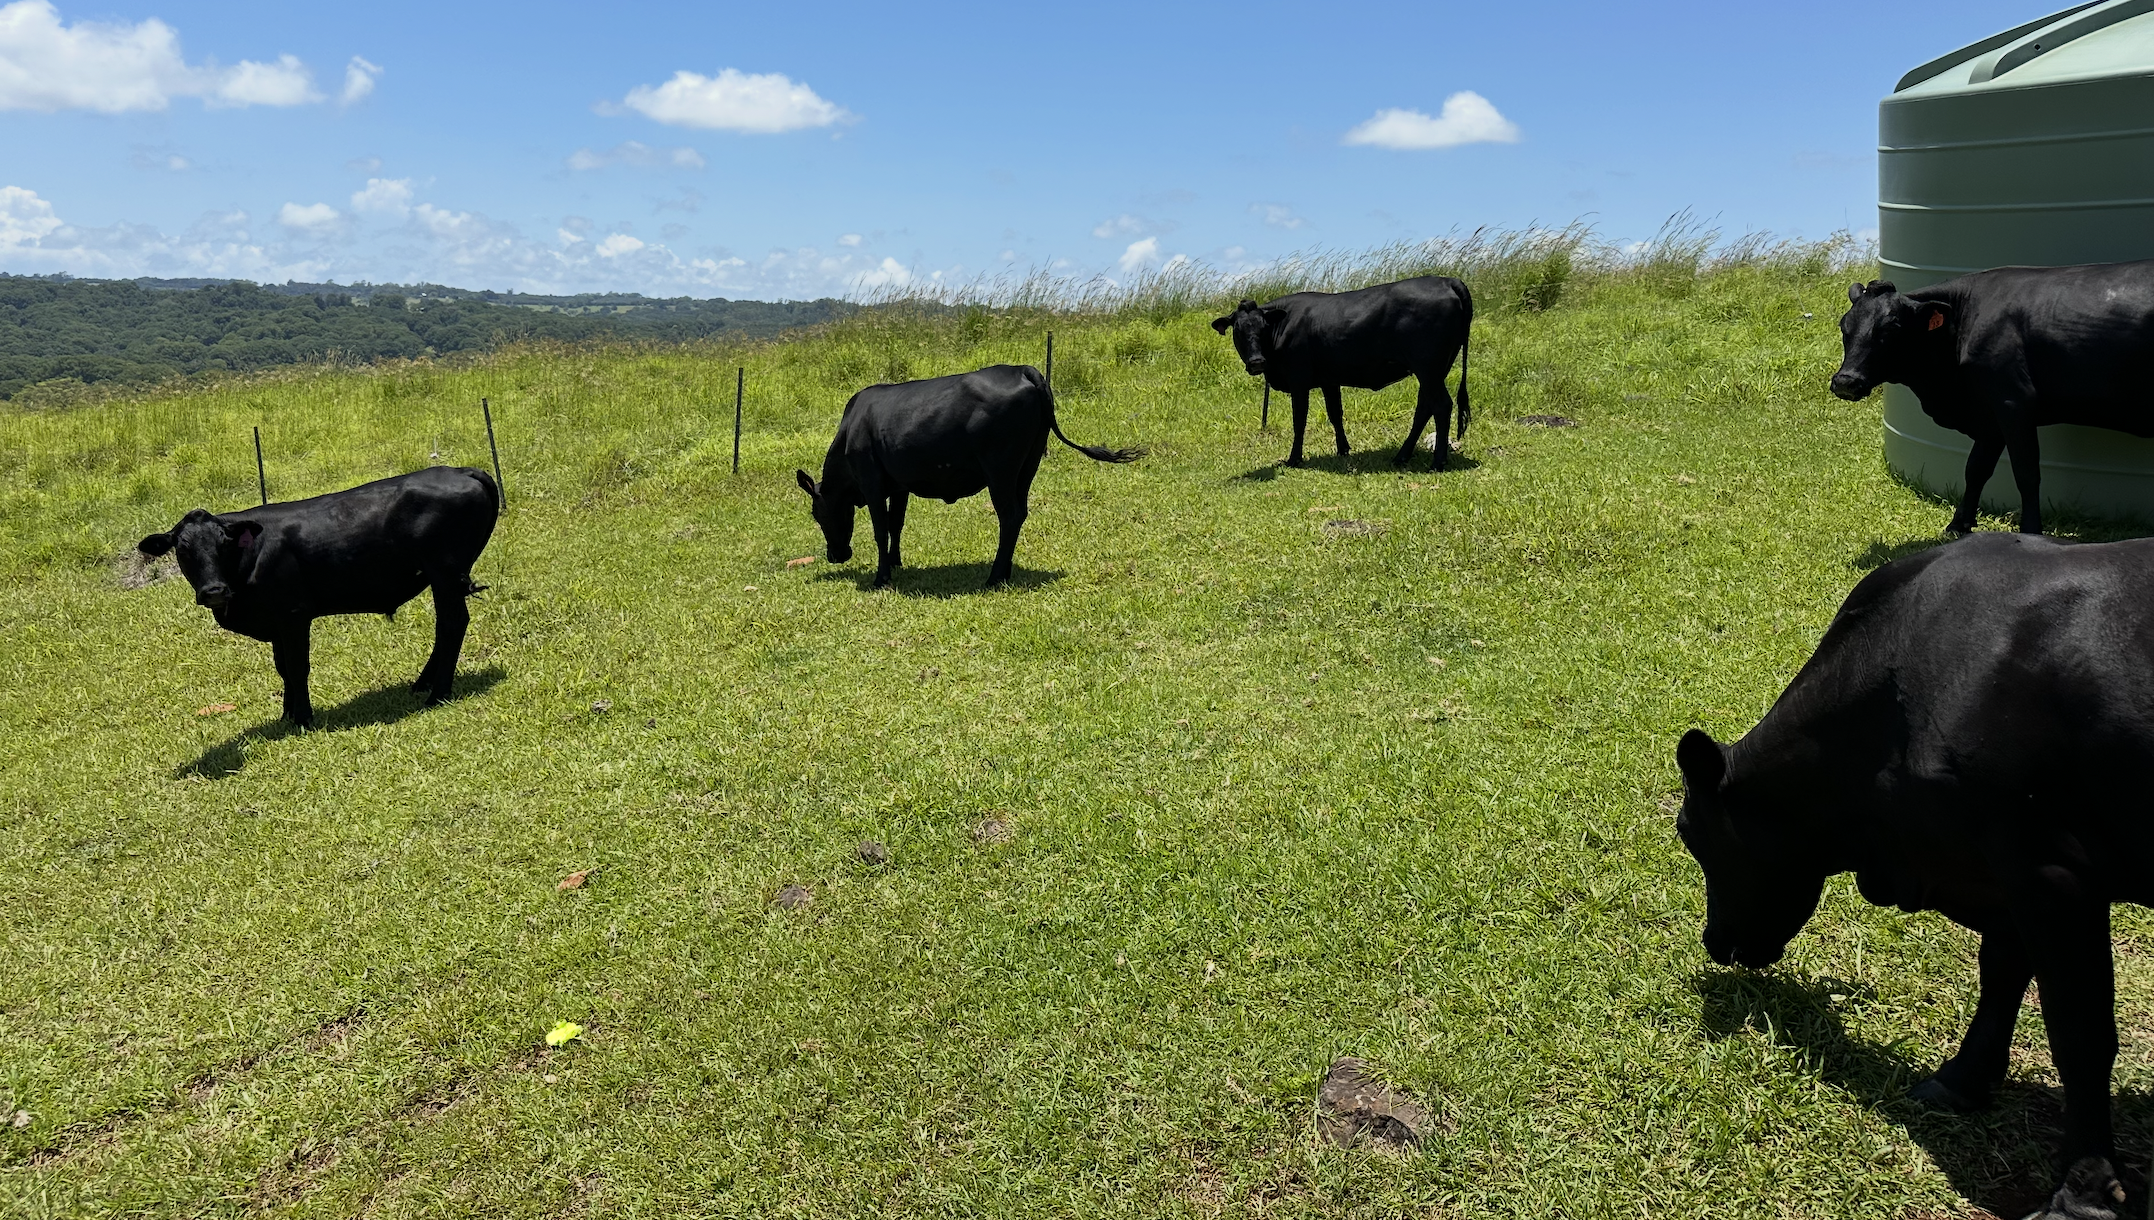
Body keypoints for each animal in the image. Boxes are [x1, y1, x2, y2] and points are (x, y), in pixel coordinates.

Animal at [136, 466, 499, 728]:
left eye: (225, 543)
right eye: (182, 549)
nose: (214, 591)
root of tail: (461, 470)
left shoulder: (294, 614)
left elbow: (298, 667)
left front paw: (303, 718)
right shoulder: (277, 621)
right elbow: (282, 667)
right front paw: (286, 714)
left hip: (445, 572)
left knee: (452, 624)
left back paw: (437, 693)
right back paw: (423, 684)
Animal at [795, 364, 1142, 590]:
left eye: (818, 514)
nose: (835, 556)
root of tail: (1023, 370)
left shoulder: (872, 482)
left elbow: (880, 530)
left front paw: (881, 578)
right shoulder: (900, 485)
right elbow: (896, 524)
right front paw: (895, 562)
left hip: (1000, 469)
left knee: (1009, 516)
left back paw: (994, 577)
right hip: (1027, 466)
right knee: (1020, 513)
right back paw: (1004, 571)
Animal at [1210, 275, 1472, 472]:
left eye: (1263, 327)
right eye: (1238, 330)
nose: (1257, 362)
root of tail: (1447, 280)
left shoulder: (1298, 381)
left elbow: (1299, 420)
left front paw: (1294, 458)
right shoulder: (1330, 380)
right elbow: (1335, 414)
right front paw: (1343, 449)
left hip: (1428, 368)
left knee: (1441, 406)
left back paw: (1437, 462)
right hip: (1435, 370)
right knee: (1424, 408)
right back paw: (1401, 456)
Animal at [1675, 532, 2154, 1220]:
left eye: (1689, 832)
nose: (1715, 943)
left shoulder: (2050, 871)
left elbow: (2079, 1030)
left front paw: (2081, 1193)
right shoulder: (2000, 870)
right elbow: (2000, 971)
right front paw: (1963, 1080)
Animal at [1832, 262, 2154, 537]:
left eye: (1891, 328)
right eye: (1844, 325)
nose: (1846, 381)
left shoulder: (2013, 402)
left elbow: (2026, 472)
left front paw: (2031, 530)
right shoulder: (1989, 414)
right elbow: (1976, 468)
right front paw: (1958, 524)